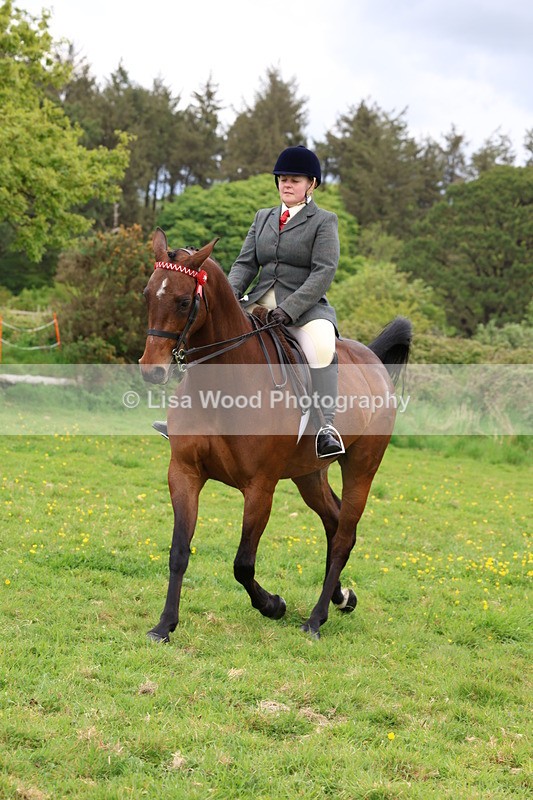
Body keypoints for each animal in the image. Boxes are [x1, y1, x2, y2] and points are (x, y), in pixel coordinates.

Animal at [139, 228, 412, 641]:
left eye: (185, 301)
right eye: (147, 293)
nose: (151, 370)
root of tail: (373, 360)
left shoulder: (260, 487)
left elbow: (243, 564)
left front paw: (273, 605)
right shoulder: (184, 473)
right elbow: (179, 551)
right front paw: (164, 625)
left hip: (361, 469)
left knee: (344, 534)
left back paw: (315, 619)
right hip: (309, 474)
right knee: (333, 522)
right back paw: (341, 598)